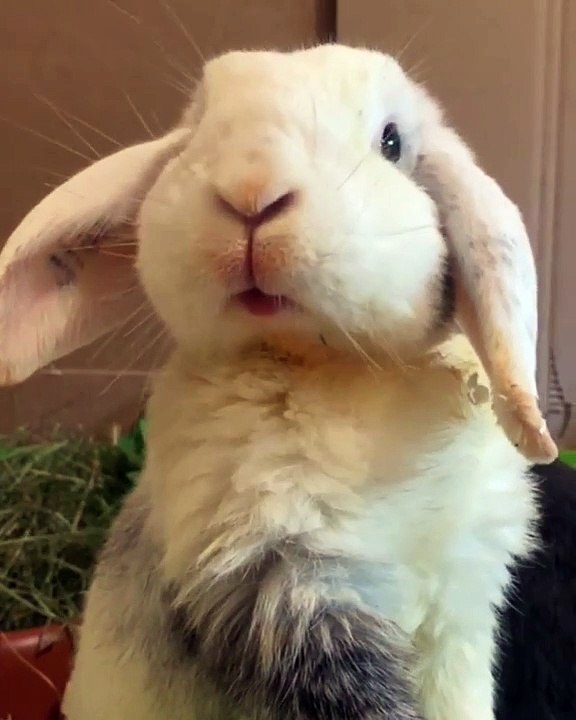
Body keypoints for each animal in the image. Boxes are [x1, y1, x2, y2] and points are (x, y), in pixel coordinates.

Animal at [0, 44, 558, 720]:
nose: (252, 192)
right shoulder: (291, 597)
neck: (334, 368)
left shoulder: (457, 596)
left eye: (392, 141)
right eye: (197, 127)